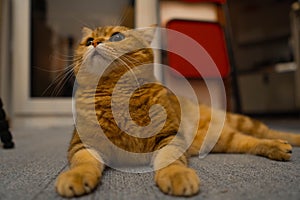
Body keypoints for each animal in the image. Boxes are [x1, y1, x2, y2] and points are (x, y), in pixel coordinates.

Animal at [55, 25, 300, 198]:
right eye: (88, 41)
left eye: (116, 37)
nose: (95, 43)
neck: (115, 95)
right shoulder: (83, 144)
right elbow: (83, 163)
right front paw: (75, 177)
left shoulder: (169, 137)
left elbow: (169, 161)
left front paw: (177, 175)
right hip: (221, 140)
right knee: (248, 142)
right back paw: (277, 148)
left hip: (239, 124)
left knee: (267, 131)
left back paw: (288, 140)